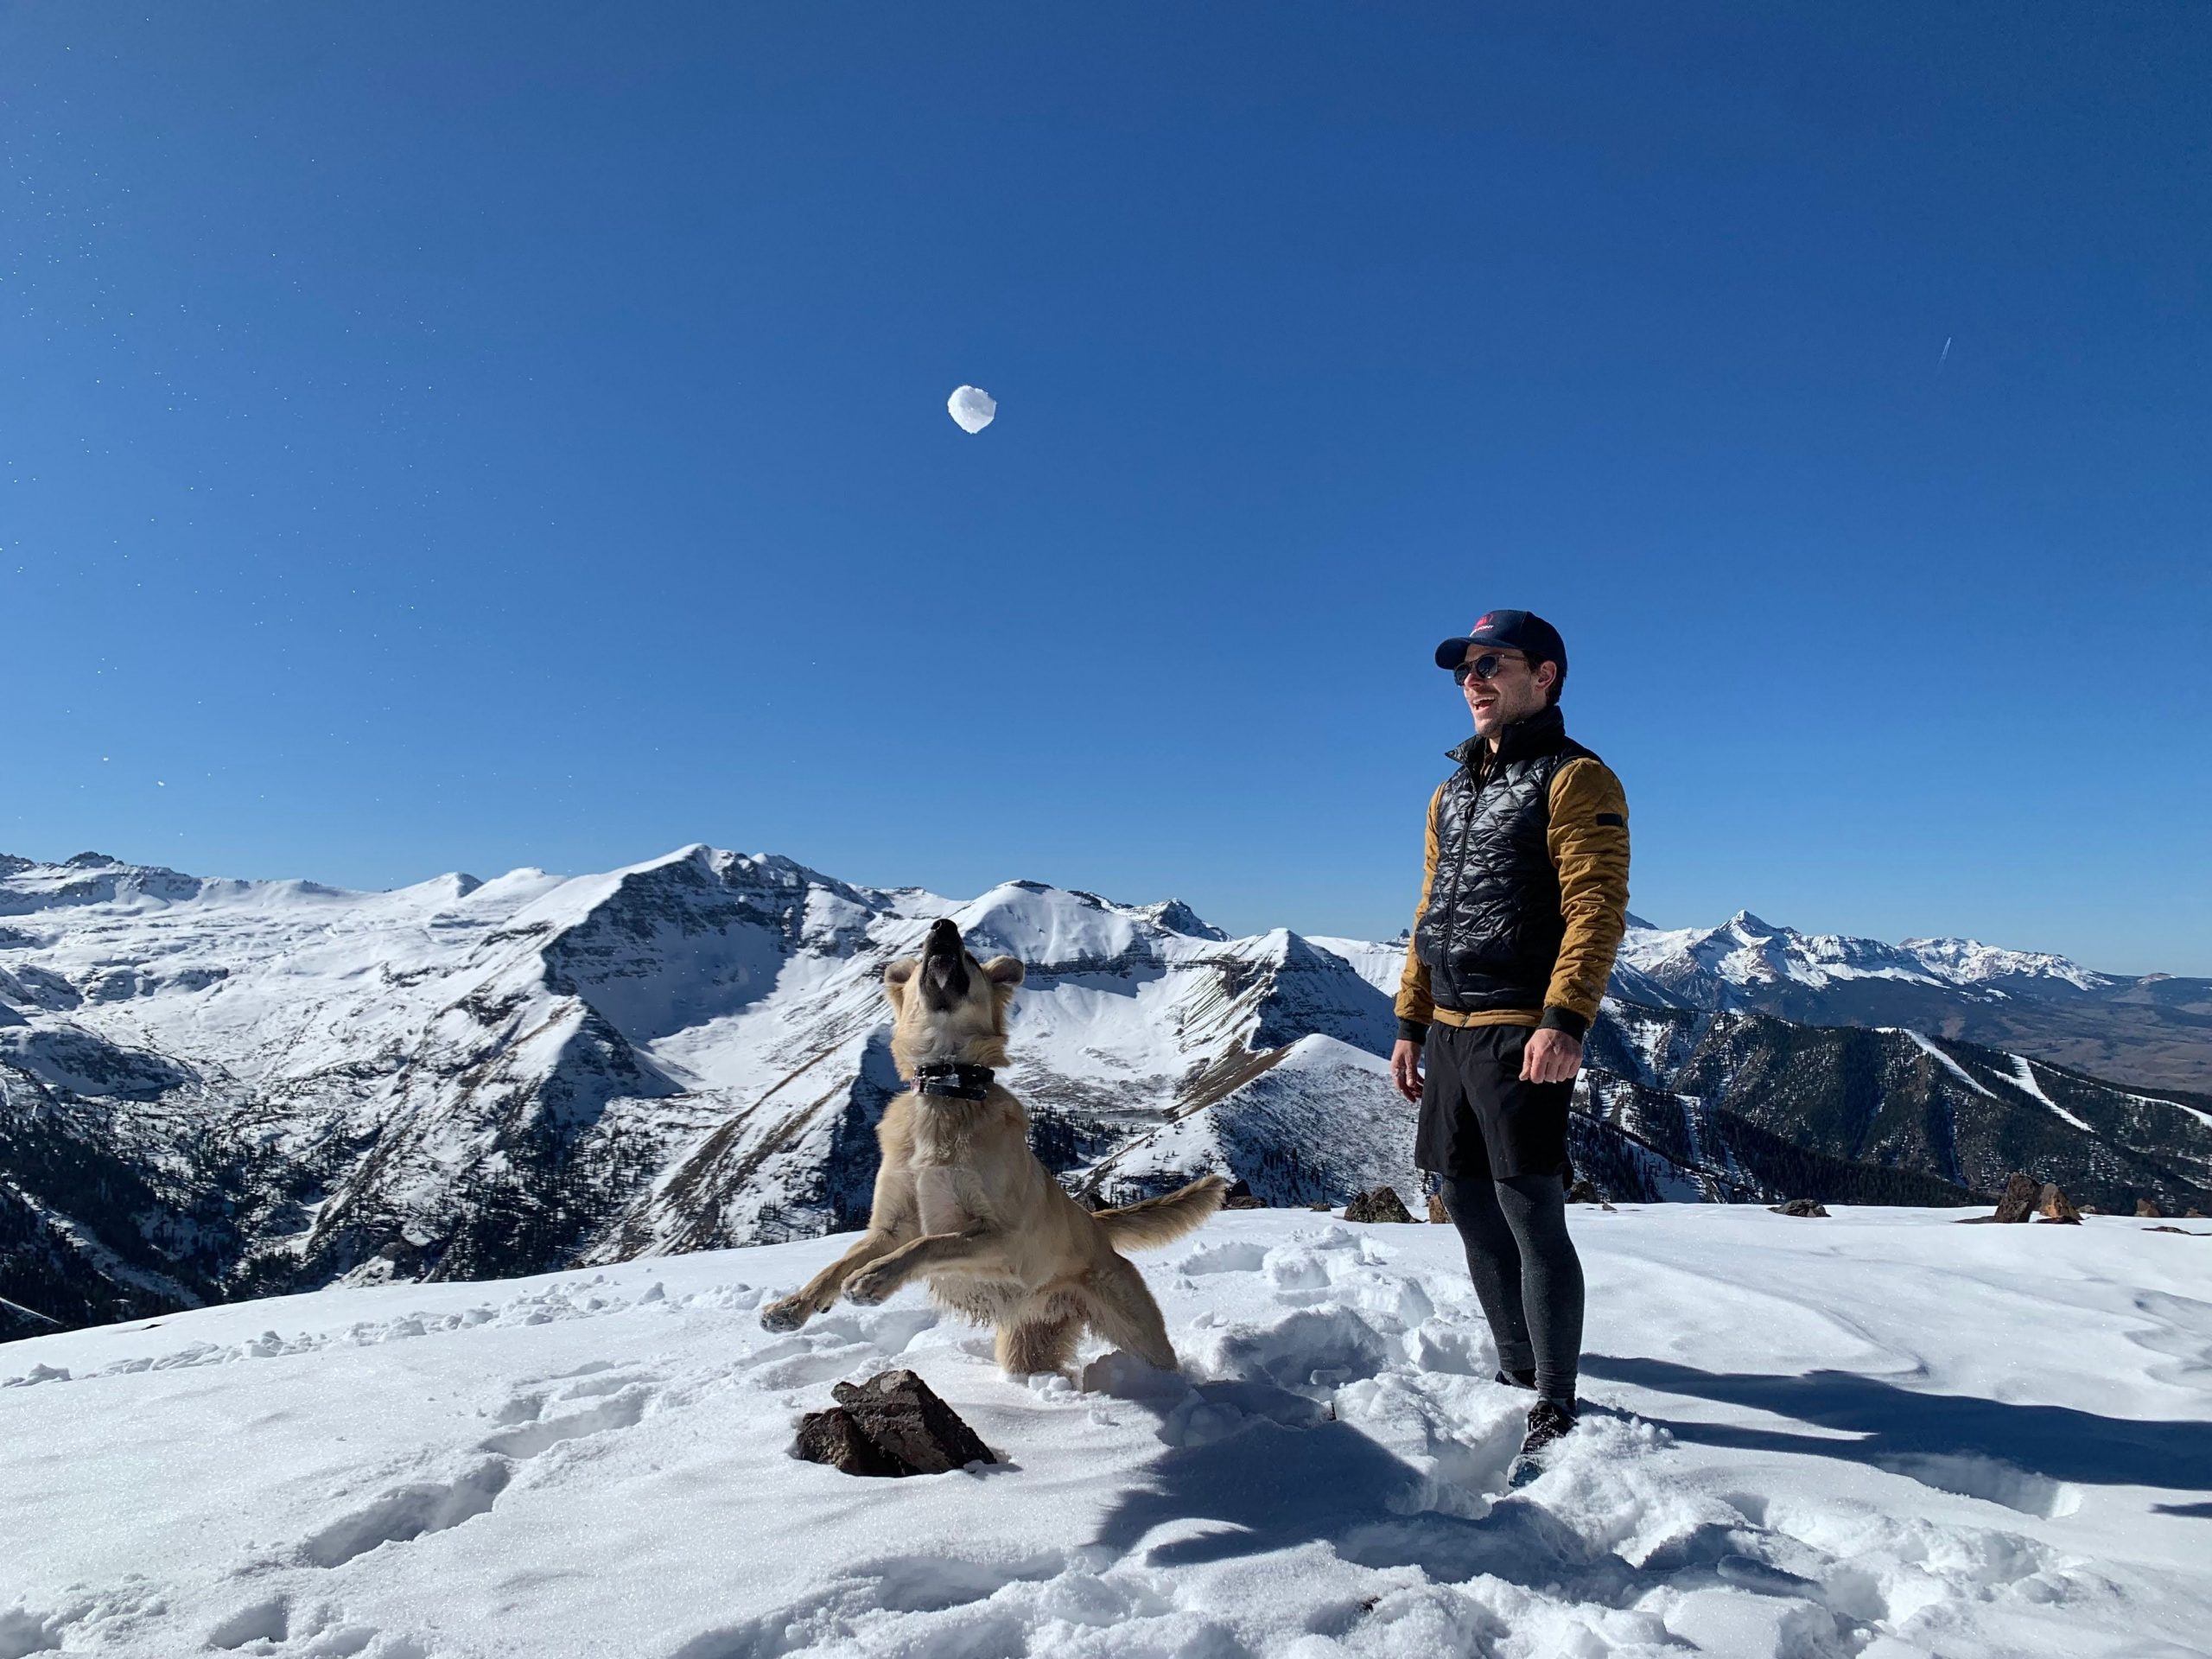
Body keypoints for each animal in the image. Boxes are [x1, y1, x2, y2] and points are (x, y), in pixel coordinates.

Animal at [760, 925, 1230, 1380]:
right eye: (925, 948)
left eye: (968, 955)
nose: (944, 927)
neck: (947, 1090)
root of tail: (1095, 1224)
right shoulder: (890, 1228)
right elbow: (837, 1264)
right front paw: (791, 1308)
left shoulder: (1002, 1237)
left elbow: (931, 1244)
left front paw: (873, 1279)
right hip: (1026, 1344)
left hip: (1138, 1331)